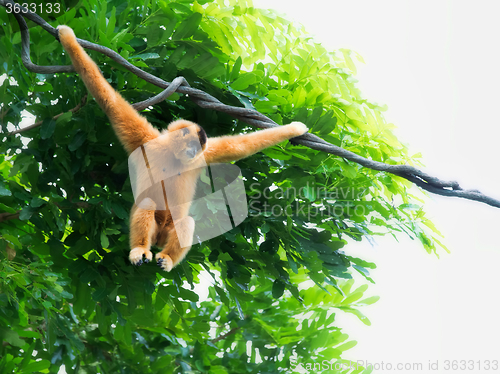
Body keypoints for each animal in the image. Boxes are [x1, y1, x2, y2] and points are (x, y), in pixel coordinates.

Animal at [56, 25, 306, 272]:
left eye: (197, 149)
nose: (194, 153)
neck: (171, 154)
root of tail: (158, 240)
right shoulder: (144, 139)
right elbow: (109, 100)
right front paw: (68, 37)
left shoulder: (204, 156)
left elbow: (236, 147)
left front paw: (294, 129)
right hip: (155, 227)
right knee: (147, 204)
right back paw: (140, 250)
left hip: (169, 228)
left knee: (186, 221)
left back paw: (166, 258)